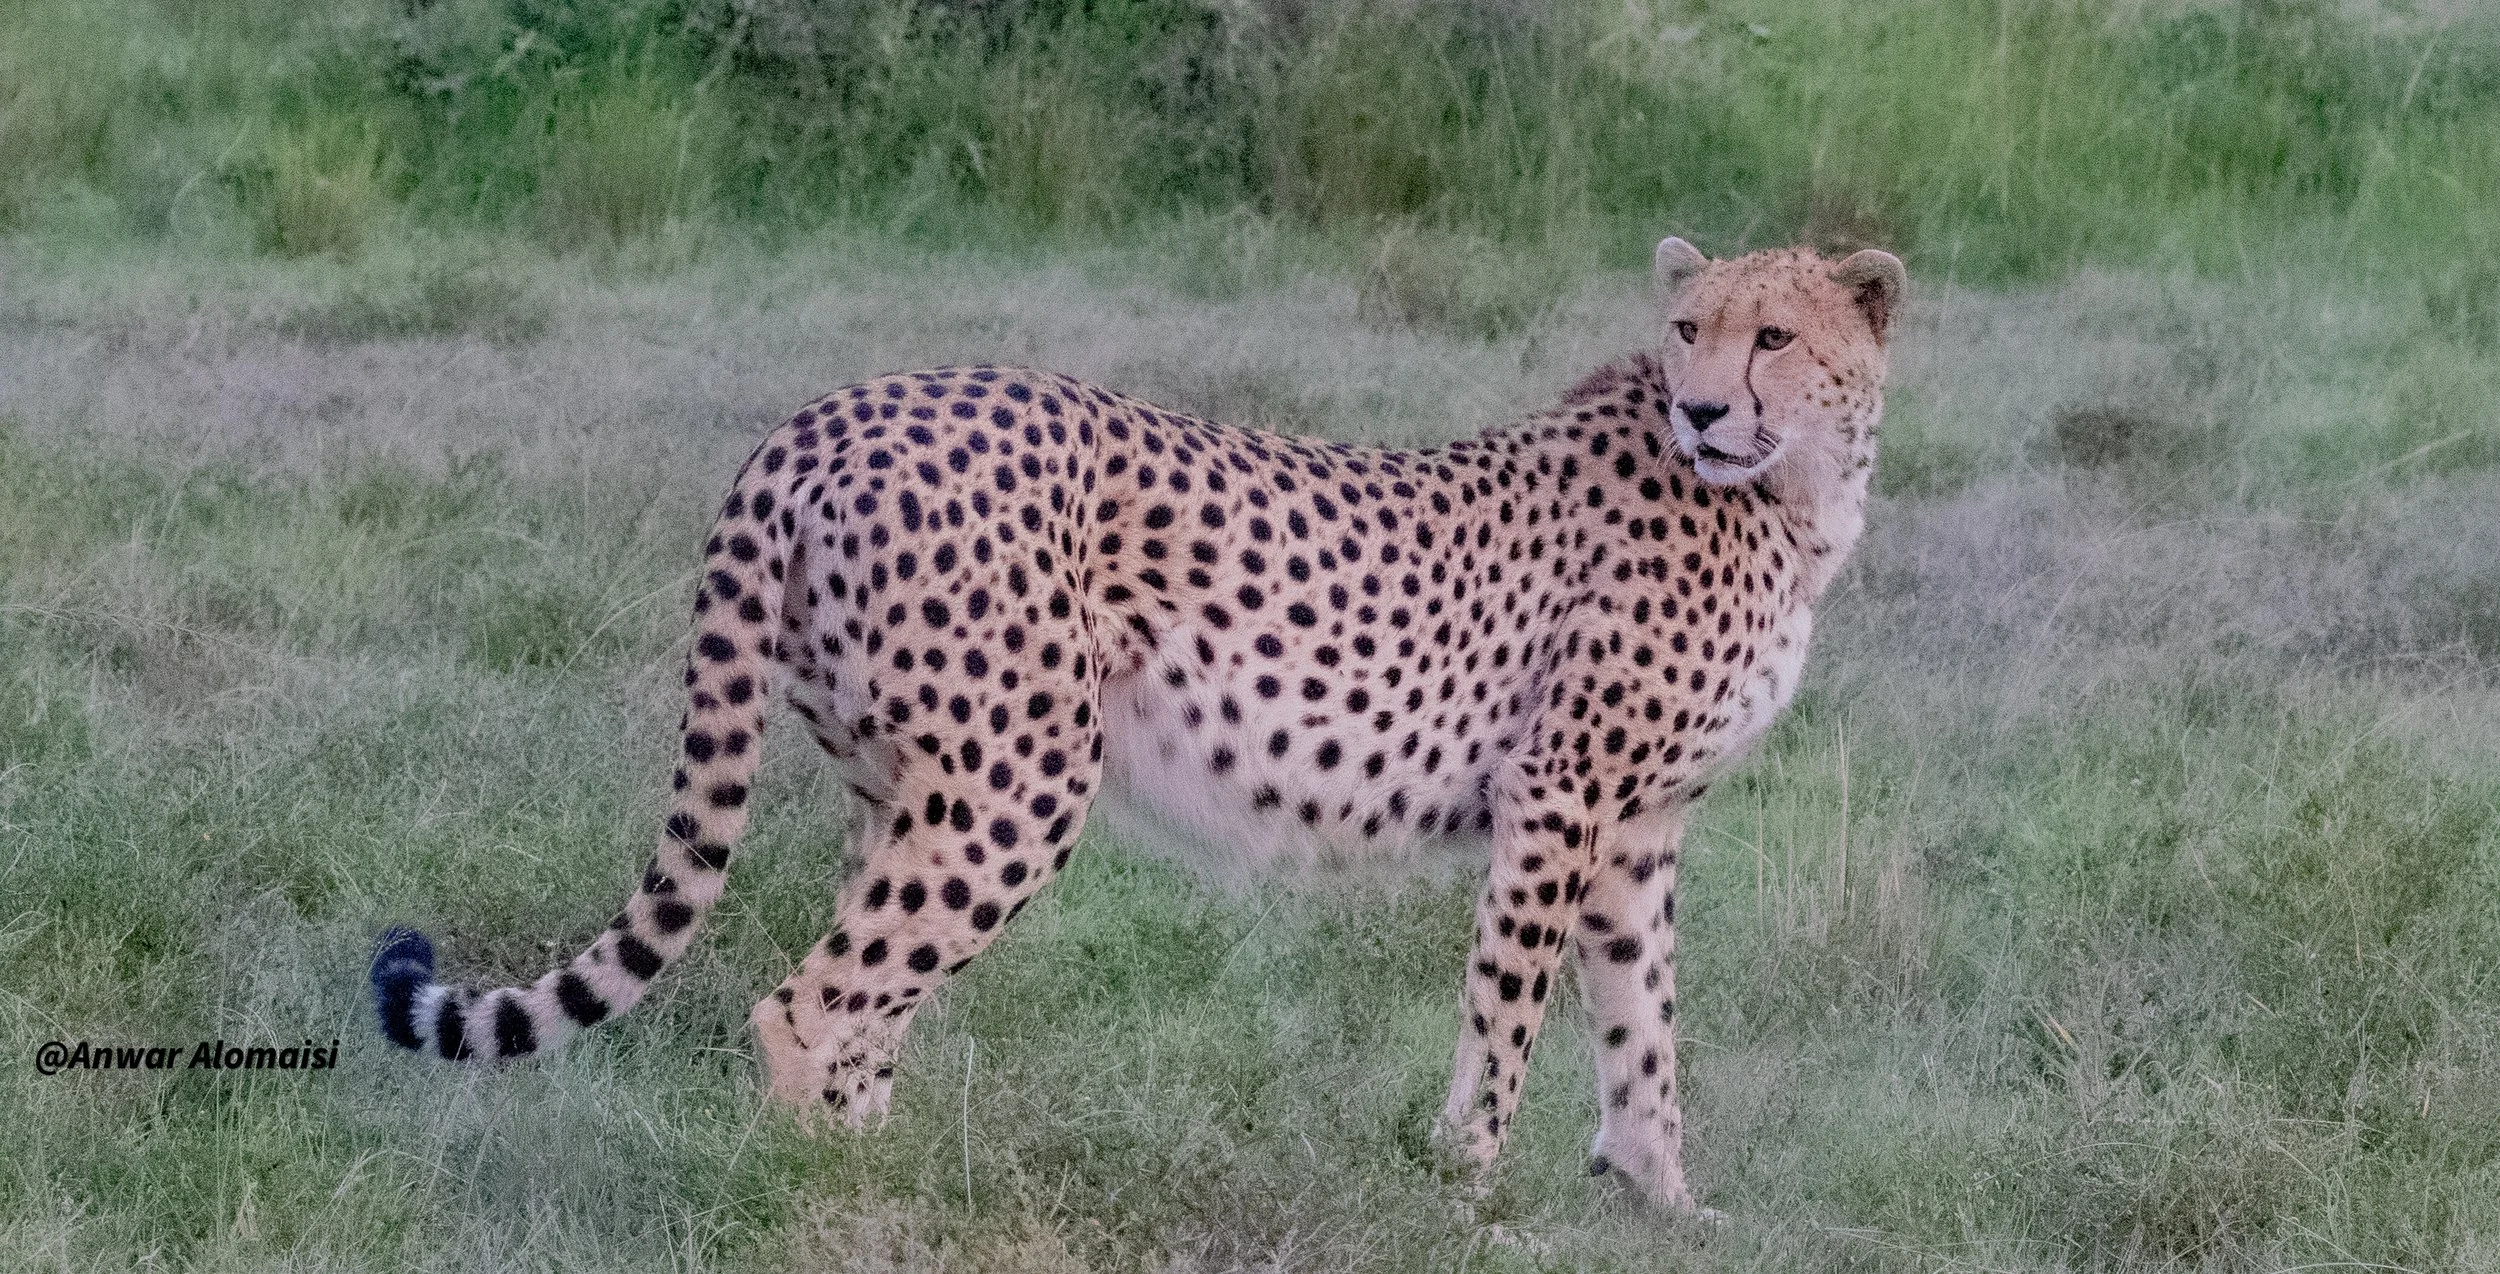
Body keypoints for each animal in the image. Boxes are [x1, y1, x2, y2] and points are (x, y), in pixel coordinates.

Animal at [370, 236, 1906, 1212]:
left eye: (1773, 335)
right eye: (1689, 330)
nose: (1702, 408)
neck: (1792, 495)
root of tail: (835, 407)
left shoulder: (1639, 827)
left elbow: (1645, 1025)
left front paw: (1665, 1200)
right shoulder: (1562, 795)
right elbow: (1512, 1008)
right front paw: (1467, 1189)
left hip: (908, 781)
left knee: (870, 1003)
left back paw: (886, 1162)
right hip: (1020, 783)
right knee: (806, 1004)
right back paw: (825, 1190)